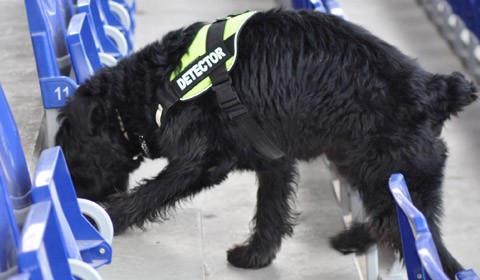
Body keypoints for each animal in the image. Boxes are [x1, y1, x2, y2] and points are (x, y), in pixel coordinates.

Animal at [55, 9, 476, 278]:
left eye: (71, 152)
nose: (75, 196)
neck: (152, 89)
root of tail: (435, 90)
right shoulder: (274, 157)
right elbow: (270, 211)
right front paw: (256, 255)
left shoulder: (202, 161)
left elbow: (148, 194)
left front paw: (105, 220)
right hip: (366, 168)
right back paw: (353, 236)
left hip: (390, 176)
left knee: (433, 251)